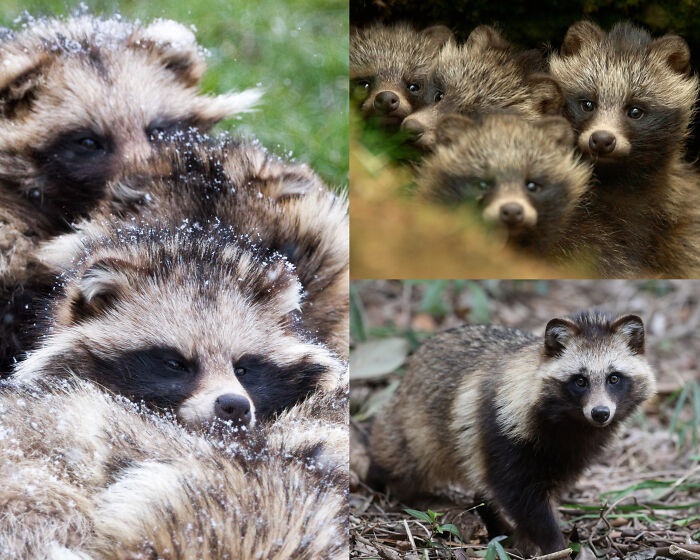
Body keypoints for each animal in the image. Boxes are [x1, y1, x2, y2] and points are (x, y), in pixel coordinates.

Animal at [369, 310, 656, 555]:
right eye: (580, 381)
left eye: (614, 378)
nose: (600, 413)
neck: (571, 423)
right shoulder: (499, 426)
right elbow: (520, 496)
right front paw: (554, 544)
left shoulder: (571, 453)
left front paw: (530, 539)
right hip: (414, 426)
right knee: (406, 458)